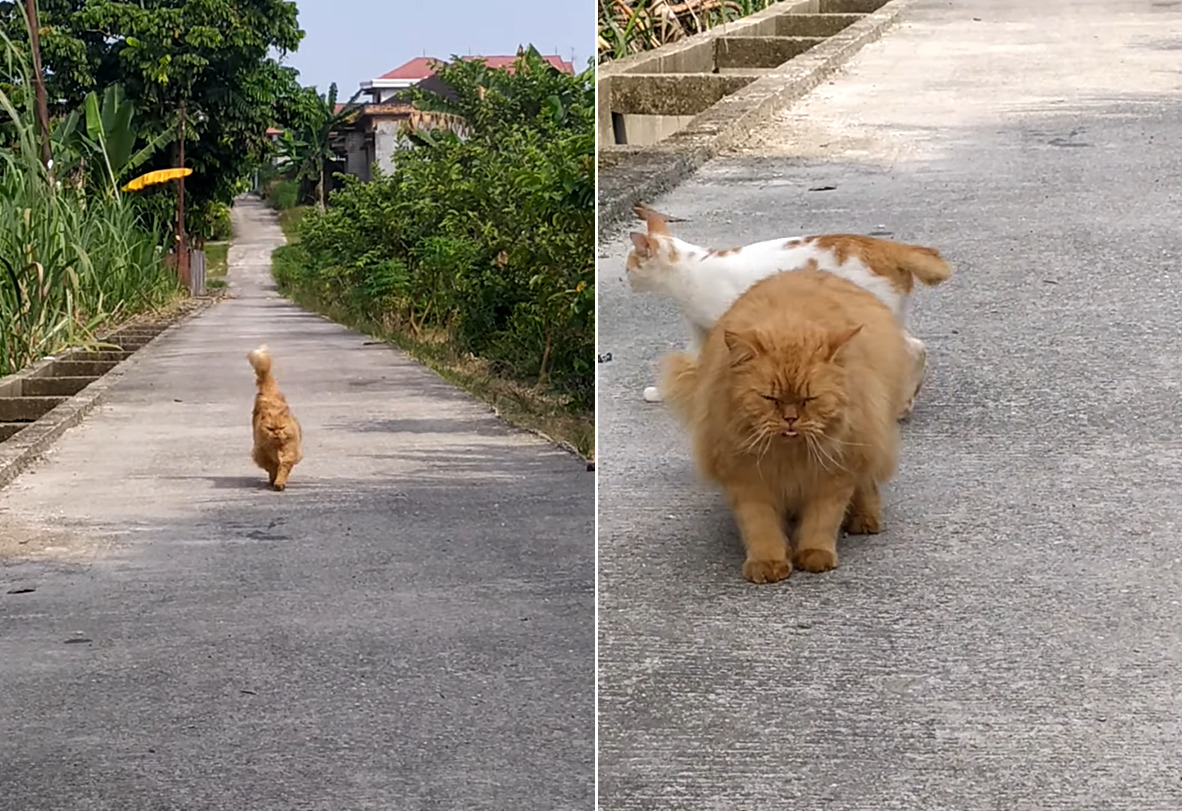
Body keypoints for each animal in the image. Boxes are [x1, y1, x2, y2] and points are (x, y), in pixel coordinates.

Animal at [248, 345, 304, 491]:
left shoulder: (290, 452)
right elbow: (272, 468)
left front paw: (279, 483)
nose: (277, 433)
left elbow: (283, 469)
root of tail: (269, 392)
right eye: (270, 429)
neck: (277, 447)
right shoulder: (262, 454)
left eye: (282, 427)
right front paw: (274, 480)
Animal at [628, 203, 950, 418]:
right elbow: (693, 359)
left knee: (915, 348)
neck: (690, 269)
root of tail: (886, 247)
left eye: (630, 266)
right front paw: (662, 392)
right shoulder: (701, 331)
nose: (625, 278)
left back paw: (902, 402)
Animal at [661, 267, 907, 584]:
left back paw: (865, 520)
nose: (790, 418)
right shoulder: (747, 481)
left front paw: (815, 555)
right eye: (770, 398)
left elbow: (821, 521)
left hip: (869, 439)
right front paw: (768, 563)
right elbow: (761, 527)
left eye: (809, 399)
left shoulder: (833, 475)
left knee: (868, 483)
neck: (789, 458)